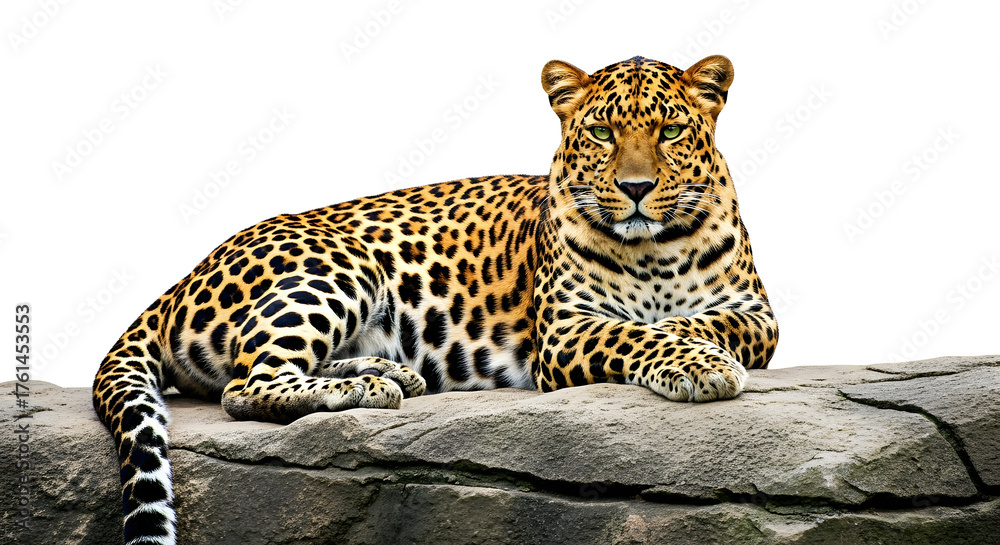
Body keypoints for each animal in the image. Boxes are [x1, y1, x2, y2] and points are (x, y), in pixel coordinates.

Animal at [93, 54, 778, 545]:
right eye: (603, 133)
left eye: (672, 131)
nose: (636, 188)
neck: (653, 250)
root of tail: (181, 280)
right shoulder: (564, 329)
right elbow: (637, 333)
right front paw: (697, 363)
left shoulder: (758, 315)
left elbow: (707, 324)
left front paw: (696, 346)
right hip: (340, 265)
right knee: (247, 384)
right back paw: (363, 390)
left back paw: (388, 373)